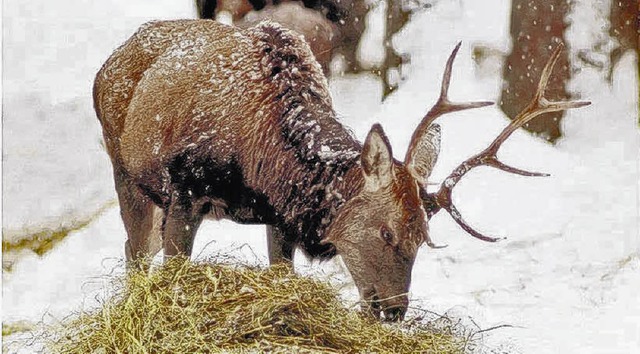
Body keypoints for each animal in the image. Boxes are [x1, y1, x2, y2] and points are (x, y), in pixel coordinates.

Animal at [94, 20, 592, 324]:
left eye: (425, 237)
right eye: (387, 231)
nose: (393, 310)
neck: (263, 165)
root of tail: (112, 58)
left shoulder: (280, 217)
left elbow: (282, 275)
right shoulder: (186, 190)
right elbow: (173, 273)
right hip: (124, 169)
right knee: (134, 250)